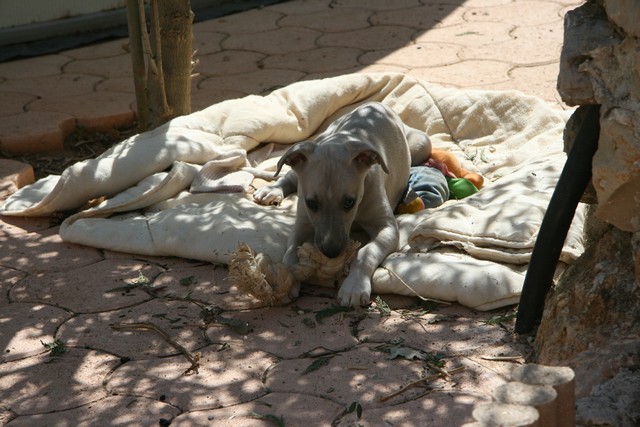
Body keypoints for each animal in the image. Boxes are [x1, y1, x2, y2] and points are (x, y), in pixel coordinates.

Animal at [253, 102, 432, 306]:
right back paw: (272, 190)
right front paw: (287, 281)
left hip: (422, 143)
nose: (331, 253)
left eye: (349, 202)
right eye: (311, 203)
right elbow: (290, 252)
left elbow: (366, 252)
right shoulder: (302, 224)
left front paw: (354, 286)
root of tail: (376, 104)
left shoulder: (387, 228)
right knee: (288, 176)